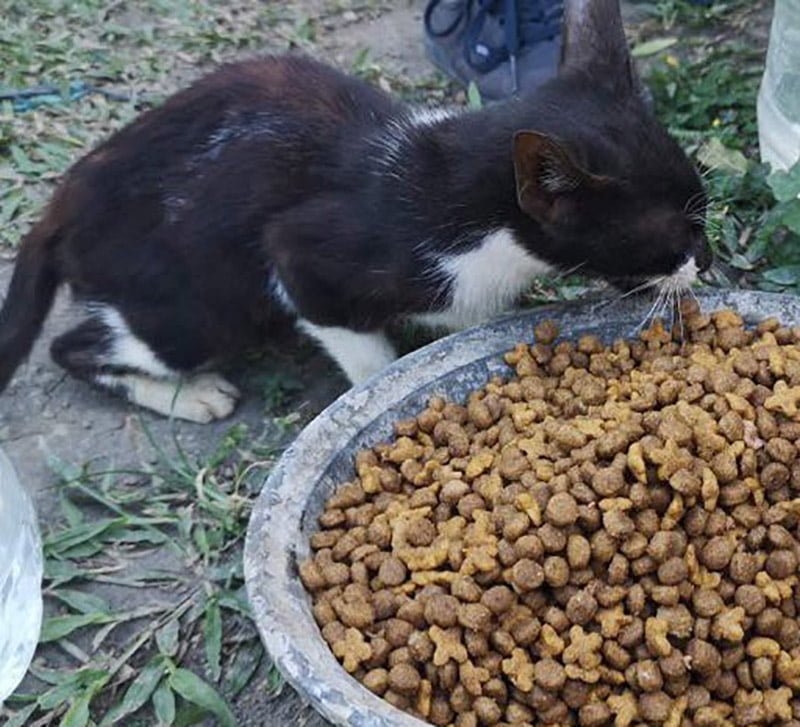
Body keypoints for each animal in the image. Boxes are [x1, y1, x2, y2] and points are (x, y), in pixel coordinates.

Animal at [0, 0, 712, 424]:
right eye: (670, 233)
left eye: (702, 212)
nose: (705, 262)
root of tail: (62, 201)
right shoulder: (303, 257)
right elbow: (366, 354)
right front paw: (384, 387)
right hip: (194, 304)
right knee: (80, 345)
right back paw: (186, 393)